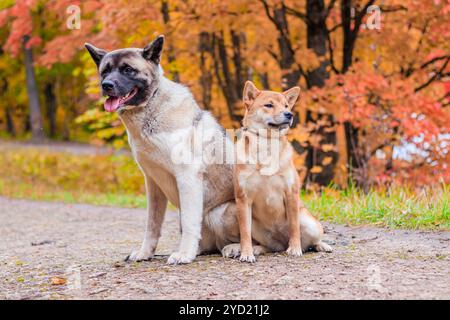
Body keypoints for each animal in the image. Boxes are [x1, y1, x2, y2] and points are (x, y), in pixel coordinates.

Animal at [84, 35, 239, 264]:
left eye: (128, 70)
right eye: (105, 71)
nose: (106, 85)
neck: (150, 107)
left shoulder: (187, 177)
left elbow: (190, 222)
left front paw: (184, 254)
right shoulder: (153, 183)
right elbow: (152, 224)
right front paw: (145, 253)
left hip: (219, 212)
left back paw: (235, 248)